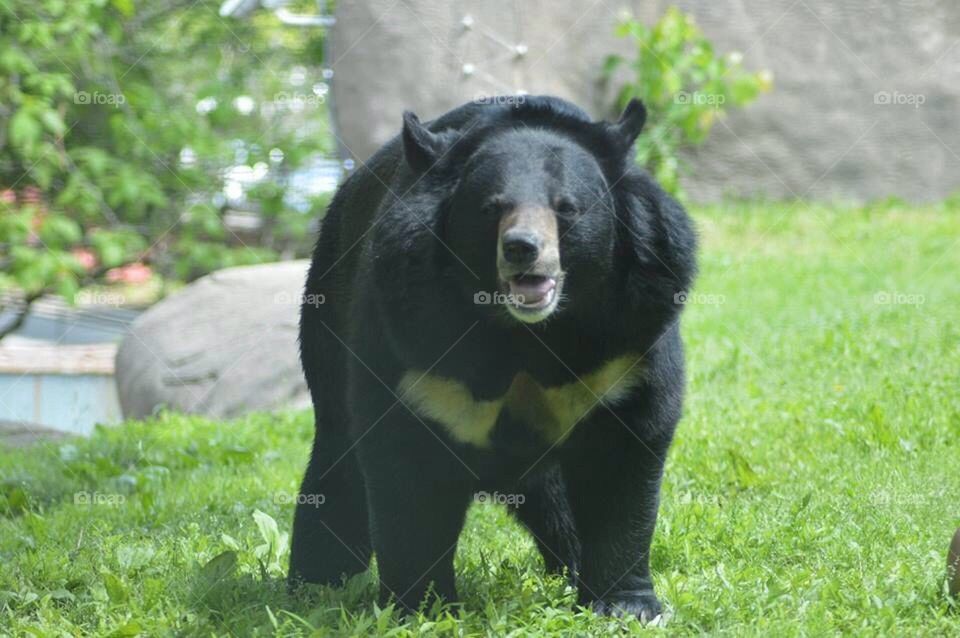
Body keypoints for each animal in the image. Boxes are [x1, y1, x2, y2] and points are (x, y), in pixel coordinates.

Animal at [289, 95, 697, 622]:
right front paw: (423, 607)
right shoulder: (413, 344)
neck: (525, 332)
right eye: (491, 209)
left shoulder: (629, 343)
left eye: (567, 208)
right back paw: (318, 585)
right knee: (337, 461)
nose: (523, 250)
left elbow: (623, 461)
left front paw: (626, 606)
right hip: (326, 318)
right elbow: (407, 475)